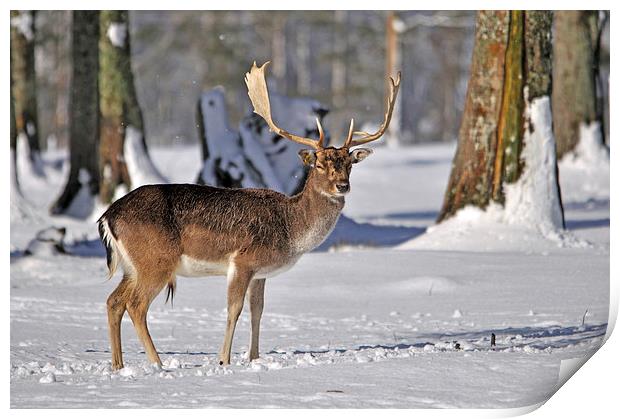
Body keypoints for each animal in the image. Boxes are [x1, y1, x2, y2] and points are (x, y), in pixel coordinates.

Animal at [97, 60, 398, 370]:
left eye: (349, 164)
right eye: (319, 164)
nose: (342, 186)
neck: (291, 229)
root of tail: (107, 216)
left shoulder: (260, 272)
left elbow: (258, 310)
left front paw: (253, 358)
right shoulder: (242, 260)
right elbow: (234, 309)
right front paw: (223, 360)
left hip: (132, 266)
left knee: (113, 302)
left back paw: (118, 365)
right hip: (155, 261)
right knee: (136, 305)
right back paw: (157, 363)